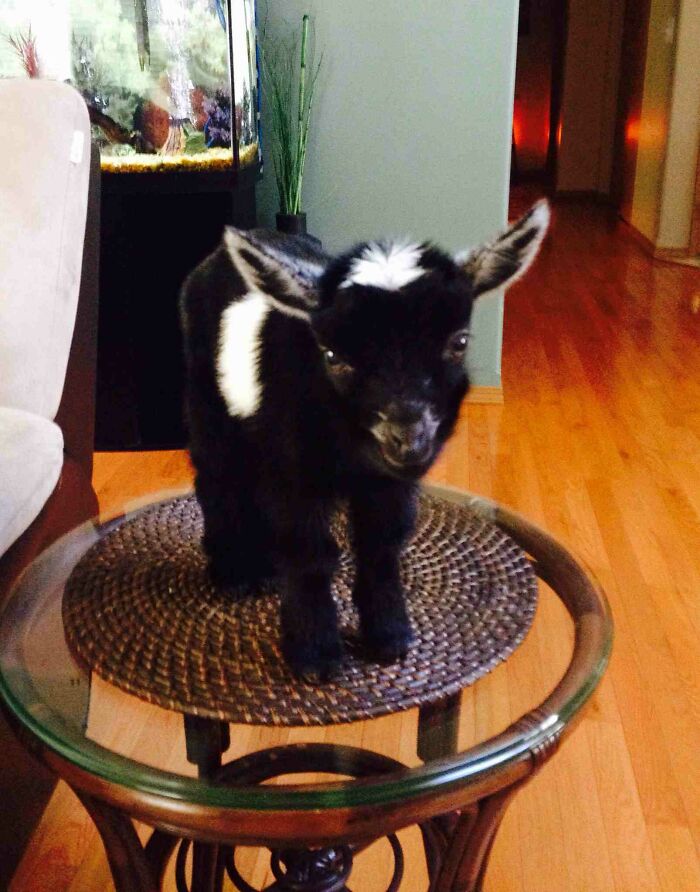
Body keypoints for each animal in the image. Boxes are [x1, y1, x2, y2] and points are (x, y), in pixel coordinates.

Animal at [179, 200, 549, 681]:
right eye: (333, 356)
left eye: (459, 342)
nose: (409, 439)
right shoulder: (298, 474)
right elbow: (310, 554)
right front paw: (315, 656)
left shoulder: (387, 483)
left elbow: (382, 545)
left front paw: (389, 637)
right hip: (206, 395)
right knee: (216, 475)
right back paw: (234, 572)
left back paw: (263, 569)